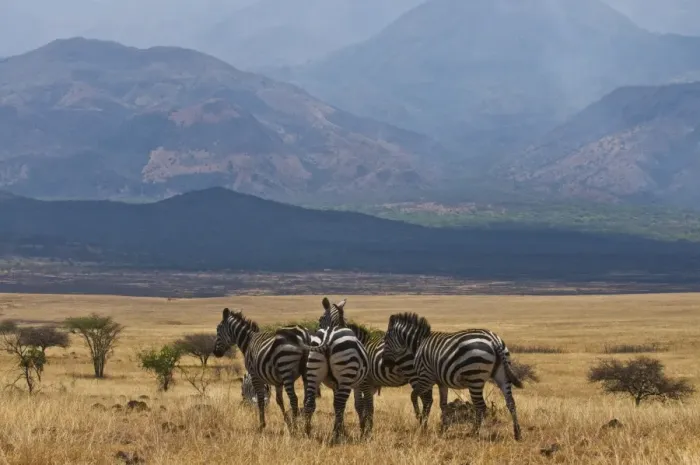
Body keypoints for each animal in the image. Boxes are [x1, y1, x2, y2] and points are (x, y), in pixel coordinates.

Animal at [382, 312, 523, 440]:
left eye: (386, 340)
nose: (384, 363)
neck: (419, 344)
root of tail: (493, 340)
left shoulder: (426, 377)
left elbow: (414, 396)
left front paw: (419, 418)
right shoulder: (441, 382)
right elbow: (443, 405)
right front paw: (443, 428)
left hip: (475, 378)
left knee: (481, 406)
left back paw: (474, 433)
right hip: (502, 374)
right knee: (511, 403)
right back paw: (517, 433)